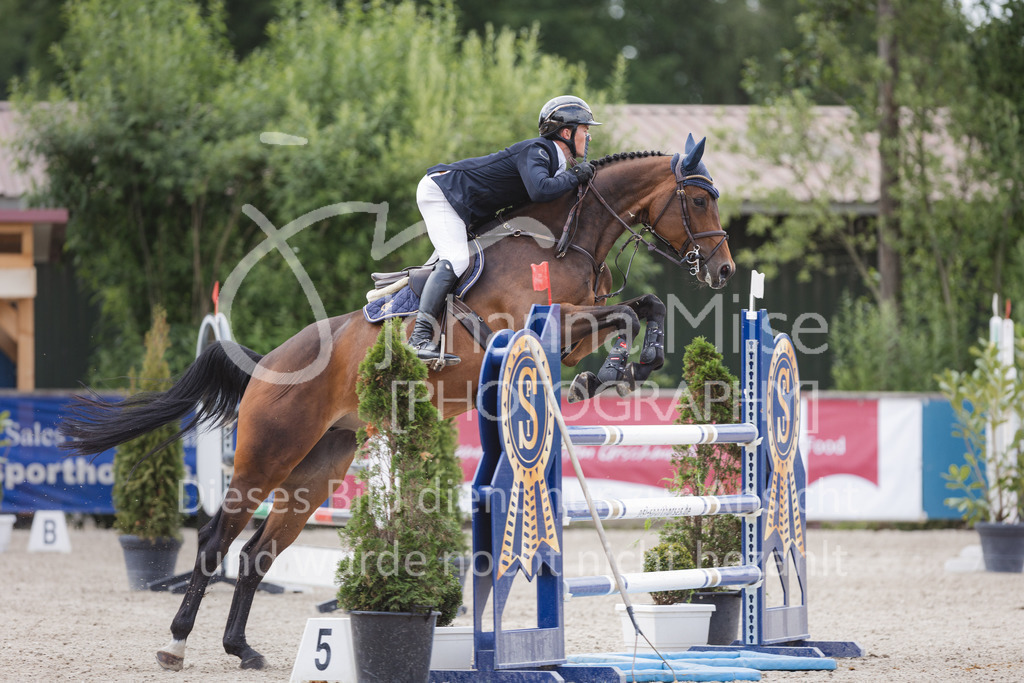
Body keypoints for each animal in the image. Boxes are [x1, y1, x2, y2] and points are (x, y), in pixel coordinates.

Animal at [59, 134, 735, 671]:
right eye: (700, 199)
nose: (725, 270)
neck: (568, 238)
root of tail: (267, 364)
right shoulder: (544, 319)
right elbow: (628, 310)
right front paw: (618, 369)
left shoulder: (570, 333)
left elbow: (640, 307)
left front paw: (623, 369)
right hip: (265, 456)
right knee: (214, 542)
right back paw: (174, 645)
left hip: (320, 468)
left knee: (255, 554)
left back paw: (241, 650)